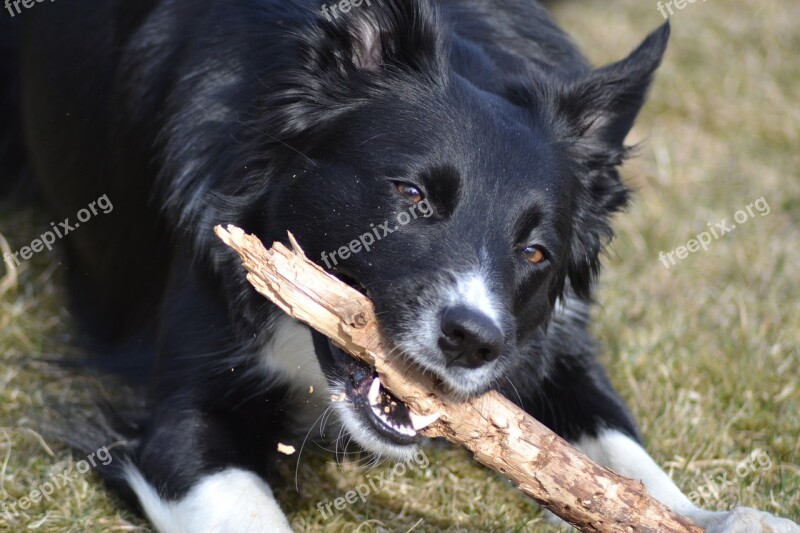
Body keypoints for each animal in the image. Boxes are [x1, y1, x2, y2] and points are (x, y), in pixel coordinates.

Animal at [3, 0, 796, 528]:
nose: (471, 341)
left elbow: (617, 454)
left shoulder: (551, 346)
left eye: (535, 251)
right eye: (411, 195)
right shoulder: (181, 415)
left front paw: (716, 515)